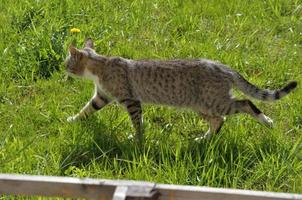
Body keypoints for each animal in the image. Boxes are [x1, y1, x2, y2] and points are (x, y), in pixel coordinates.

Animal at [65, 38, 298, 143]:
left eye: (67, 62)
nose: (62, 67)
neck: (100, 66)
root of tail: (223, 67)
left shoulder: (130, 100)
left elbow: (137, 122)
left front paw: (137, 138)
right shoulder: (102, 96)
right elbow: (86, 109)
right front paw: (73, 120)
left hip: (215, 101)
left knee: (245, 104)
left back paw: (266, 121)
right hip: (201, 105)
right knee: (219, 120)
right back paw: (203, 139)